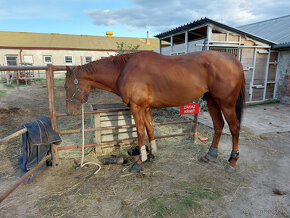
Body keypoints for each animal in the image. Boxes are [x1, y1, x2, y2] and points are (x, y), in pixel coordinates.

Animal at [65, 50, 245, 172]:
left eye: (67, 86)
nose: (69, 112)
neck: (124, 69)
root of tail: (234, 60)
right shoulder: (145, 107)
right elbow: (149, 129)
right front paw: (151, 155)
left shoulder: (136, 107)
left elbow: (140, 132)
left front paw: (139, 161)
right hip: (212, 101)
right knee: (219, 125)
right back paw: (210, 155)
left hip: (226, 104)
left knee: (234, 128)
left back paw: (232, 162)